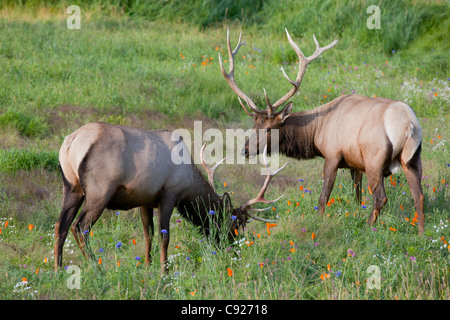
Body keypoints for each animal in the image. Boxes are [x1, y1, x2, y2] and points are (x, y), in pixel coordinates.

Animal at [54, 122, 288, 270]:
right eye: (235, 224)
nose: (234, 251)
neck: (190, 184)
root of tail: (71, 142)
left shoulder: (145, 201)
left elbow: (147, 234)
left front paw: (147, 266)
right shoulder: (169, 194)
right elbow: (164, 237)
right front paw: (163, 271)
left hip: (72, 187)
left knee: (60, 225)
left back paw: (57, 270)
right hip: (99, 191)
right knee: (80, 227)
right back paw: (96, 267)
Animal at [220, 28, 424, 235]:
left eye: (269, 129)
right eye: (254, 126)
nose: (245, 150)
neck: (316, 133)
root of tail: (408, 124)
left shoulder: (332, 155)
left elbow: (323, 196)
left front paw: (318, 222)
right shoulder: (355, 163)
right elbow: (357, 194)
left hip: (375, 159)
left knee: (380, 197)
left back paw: (368, 228)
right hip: (412, 159)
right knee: (419, 196)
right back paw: (422, 234)